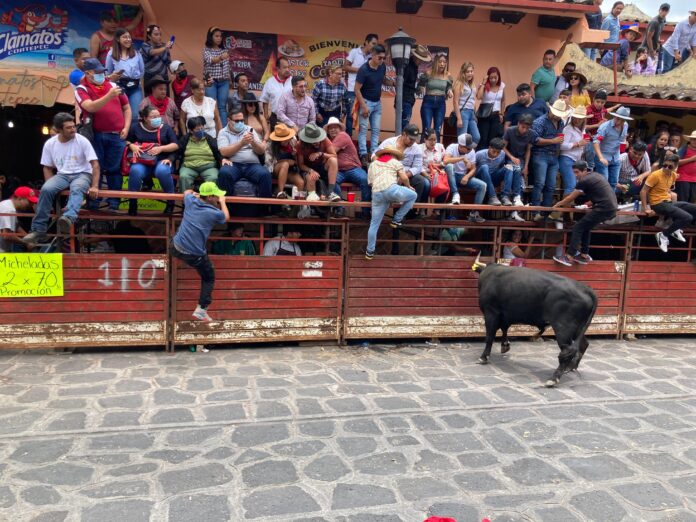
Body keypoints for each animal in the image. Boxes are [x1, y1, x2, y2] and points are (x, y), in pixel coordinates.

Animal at [472, 254, 598, 387]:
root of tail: (585, 288)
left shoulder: (491, 312)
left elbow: (490, 336)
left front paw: (484, 357)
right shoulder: (505, 315)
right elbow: (504, 329)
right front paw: (505, 346)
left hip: (563, 328)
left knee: (567, 350)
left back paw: (554, 378)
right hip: (578, 328)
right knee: (583, 344)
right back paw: (571, 367)